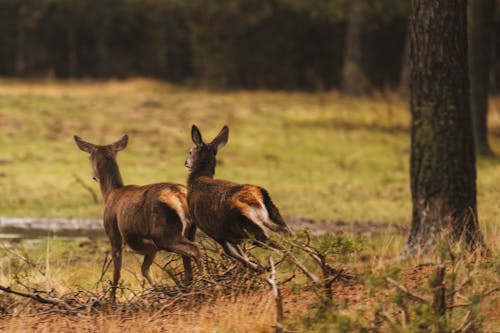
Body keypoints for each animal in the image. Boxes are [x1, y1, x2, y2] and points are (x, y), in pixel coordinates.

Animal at [73, 134, 202, 300]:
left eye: (89, 157)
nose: (94, 177)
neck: (110, 194)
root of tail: (179, 195)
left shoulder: (113, 234)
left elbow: (117, 273)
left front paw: (112, 299)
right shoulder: (151, 248)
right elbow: (144, 269)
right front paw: (159, 290)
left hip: (165, 233)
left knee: (195, 249)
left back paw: (206, 281)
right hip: (188, 231)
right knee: (188, 262)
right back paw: (190, 288)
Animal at [186, 124, 292, 270]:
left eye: (190, 151)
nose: (186, 162)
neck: (196, 181)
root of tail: (255, 199)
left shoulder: (211, 229)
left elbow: (231, 252)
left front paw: (256, 267)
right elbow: (239, 250)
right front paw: (255, 265)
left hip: (250, 228)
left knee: (282, 247)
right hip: (275, 217)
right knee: (293, 240)